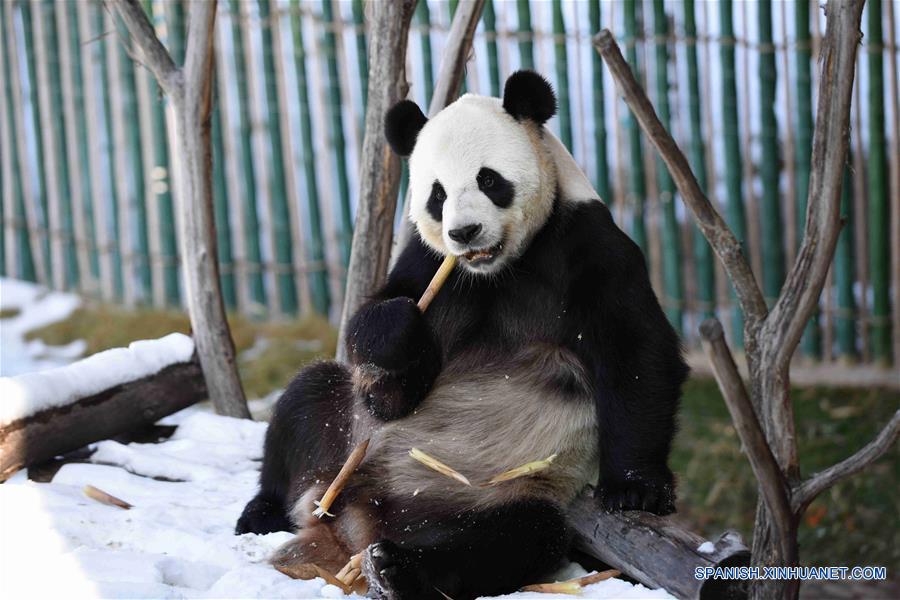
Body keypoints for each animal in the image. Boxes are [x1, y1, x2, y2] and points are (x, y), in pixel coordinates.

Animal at [236, 71, 684, 600]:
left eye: (489, 180)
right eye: (437, 195)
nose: (464, 232)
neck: (500, 268)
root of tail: (353, 526)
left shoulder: (590, 248)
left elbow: (636, 353)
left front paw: (637, 486)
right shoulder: (431, 266)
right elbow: (387, 384)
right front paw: (397, 333)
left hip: (495, 492)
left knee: (514, 538)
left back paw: (396, 568)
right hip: (343, 442)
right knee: (309, 398)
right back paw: (262, 513)